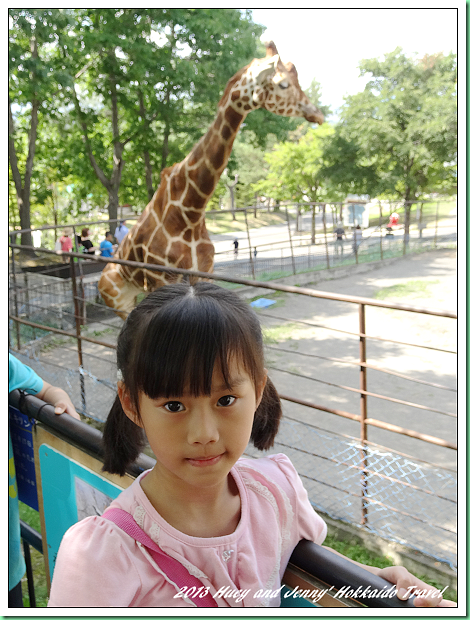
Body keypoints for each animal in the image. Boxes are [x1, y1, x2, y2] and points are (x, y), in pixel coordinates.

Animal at [97, 41, 322, 318]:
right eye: (283, 84)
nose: (318, 114)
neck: (190, 212)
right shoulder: (160, 278)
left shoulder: (205, 271)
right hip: (119, 301)